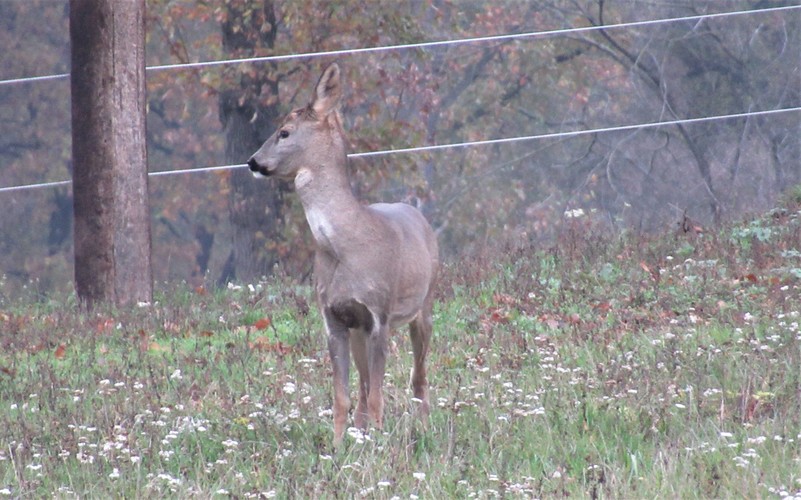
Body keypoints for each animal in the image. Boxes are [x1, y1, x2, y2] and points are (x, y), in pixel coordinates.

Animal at [248, 63, 440, 446]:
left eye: (284, 132)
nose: (253, 162)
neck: (345, 245)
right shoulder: (334, 317)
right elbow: (343, 395)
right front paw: (338, 446)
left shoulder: (379, 314)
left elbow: (379, 393)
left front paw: (379, 443)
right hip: (358, 331)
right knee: (365, 387)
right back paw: (363, 432)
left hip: (423, 306)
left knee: (417, 377)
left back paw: (423, 428)